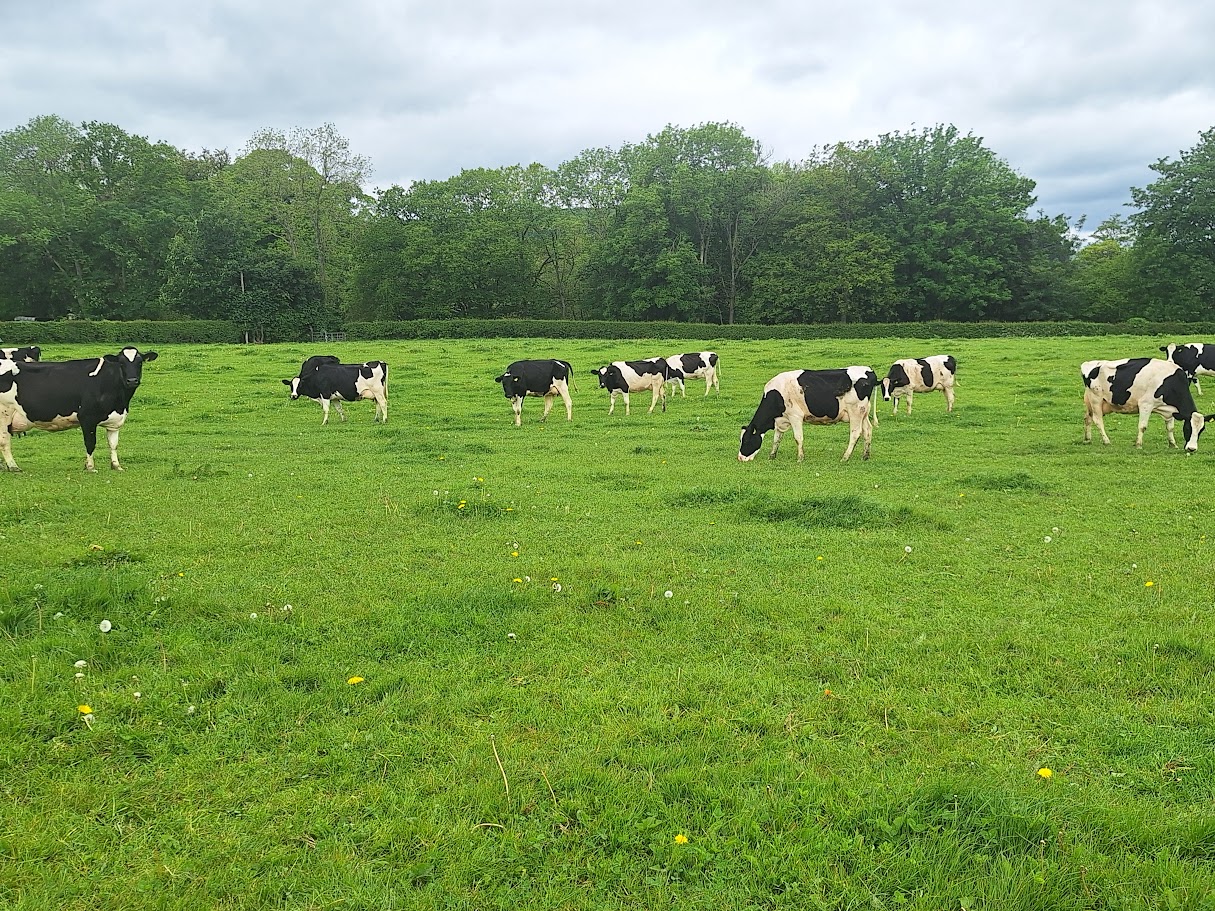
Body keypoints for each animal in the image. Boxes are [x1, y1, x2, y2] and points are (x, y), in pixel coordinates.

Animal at [0, 347, 158, 472]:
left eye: (139, 362)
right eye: (121, 363)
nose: (132, 380)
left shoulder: (115, 421)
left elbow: (113, 444)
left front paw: (116, 466)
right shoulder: (87, 418)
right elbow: (90, 443)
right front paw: (90, 467)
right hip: (4, 415)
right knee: (4, 442)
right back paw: (13, 466)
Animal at [739, 365, 877, 462]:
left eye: (746, 440)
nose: (740, 458)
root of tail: (869, 371)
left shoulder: (795, 416)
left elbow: (798, 437)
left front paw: (800, 458)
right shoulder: (781, 420)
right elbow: (777, 439)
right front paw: (772, 456)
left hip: (855, 411)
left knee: (855, 433)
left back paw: (845, 457)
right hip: (863, 412)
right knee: (868, 430)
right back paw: (865, 456)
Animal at [1082, 357, 1212, 452]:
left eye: (1201, 430)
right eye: (1188, 428)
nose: (1192, 449)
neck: (1170, 382)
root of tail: (1091, 363)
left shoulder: (1170, 410)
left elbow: (1170, 428)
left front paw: (1172, 444)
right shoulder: (1146, 404)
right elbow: (1143, 426)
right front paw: (1139, 445)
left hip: (1092, 402)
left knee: (1088, 418)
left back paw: (1087, 439)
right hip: (1096, 399)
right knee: (1098, 421)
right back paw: (1106, 441)